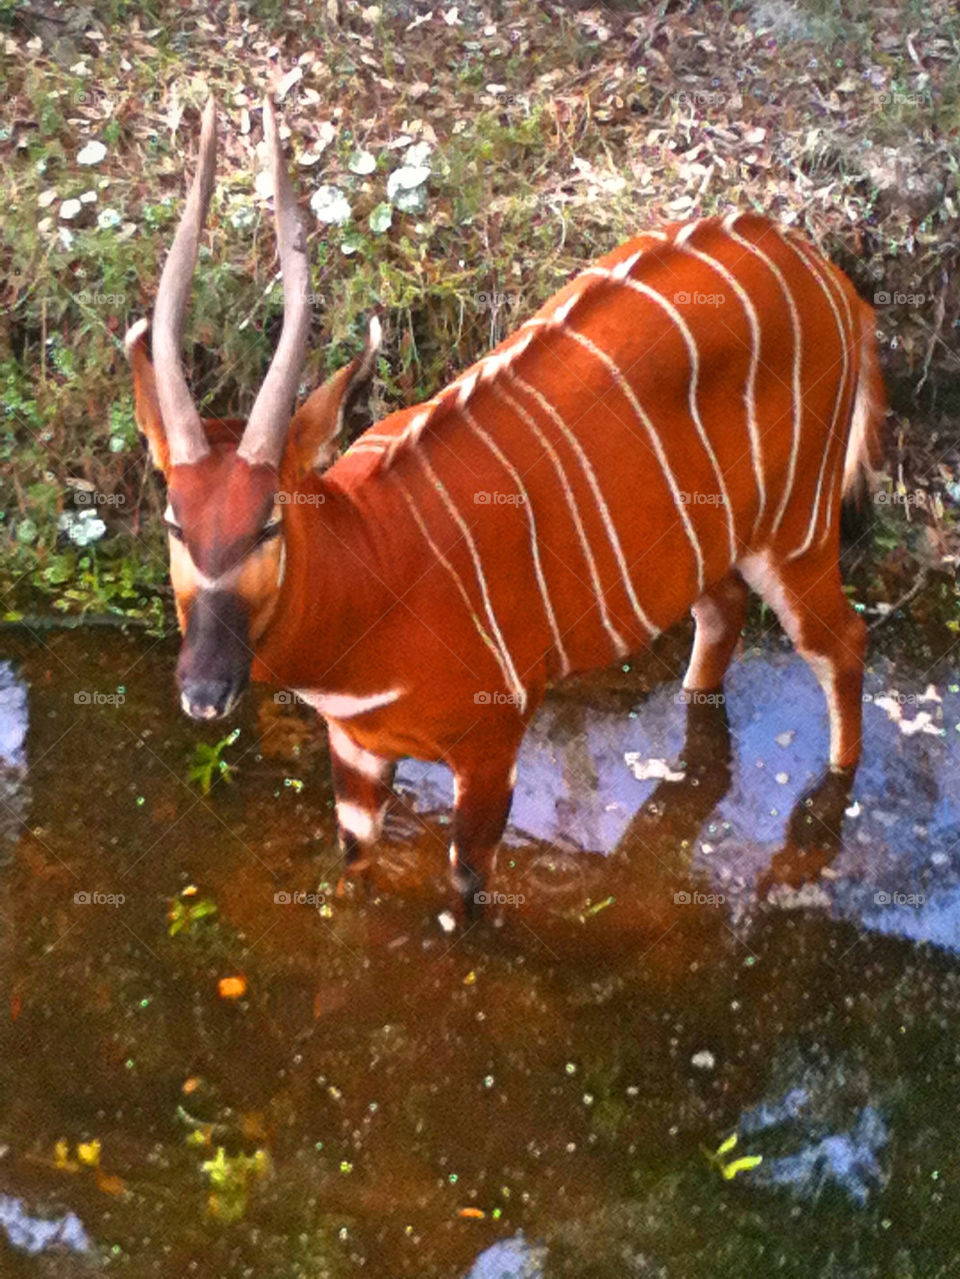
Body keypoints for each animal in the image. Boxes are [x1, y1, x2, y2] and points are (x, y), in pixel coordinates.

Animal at [125, 98, 885, 915]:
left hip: (799, 530)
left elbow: (465, 892)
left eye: (268, 520)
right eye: (174, 520)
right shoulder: (356, 752)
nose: (205, 691)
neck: (373, 566)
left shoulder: (492, 746)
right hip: (715, 548)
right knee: (722, 618)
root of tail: (834, 278)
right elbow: (354, 866)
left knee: (843, 643)